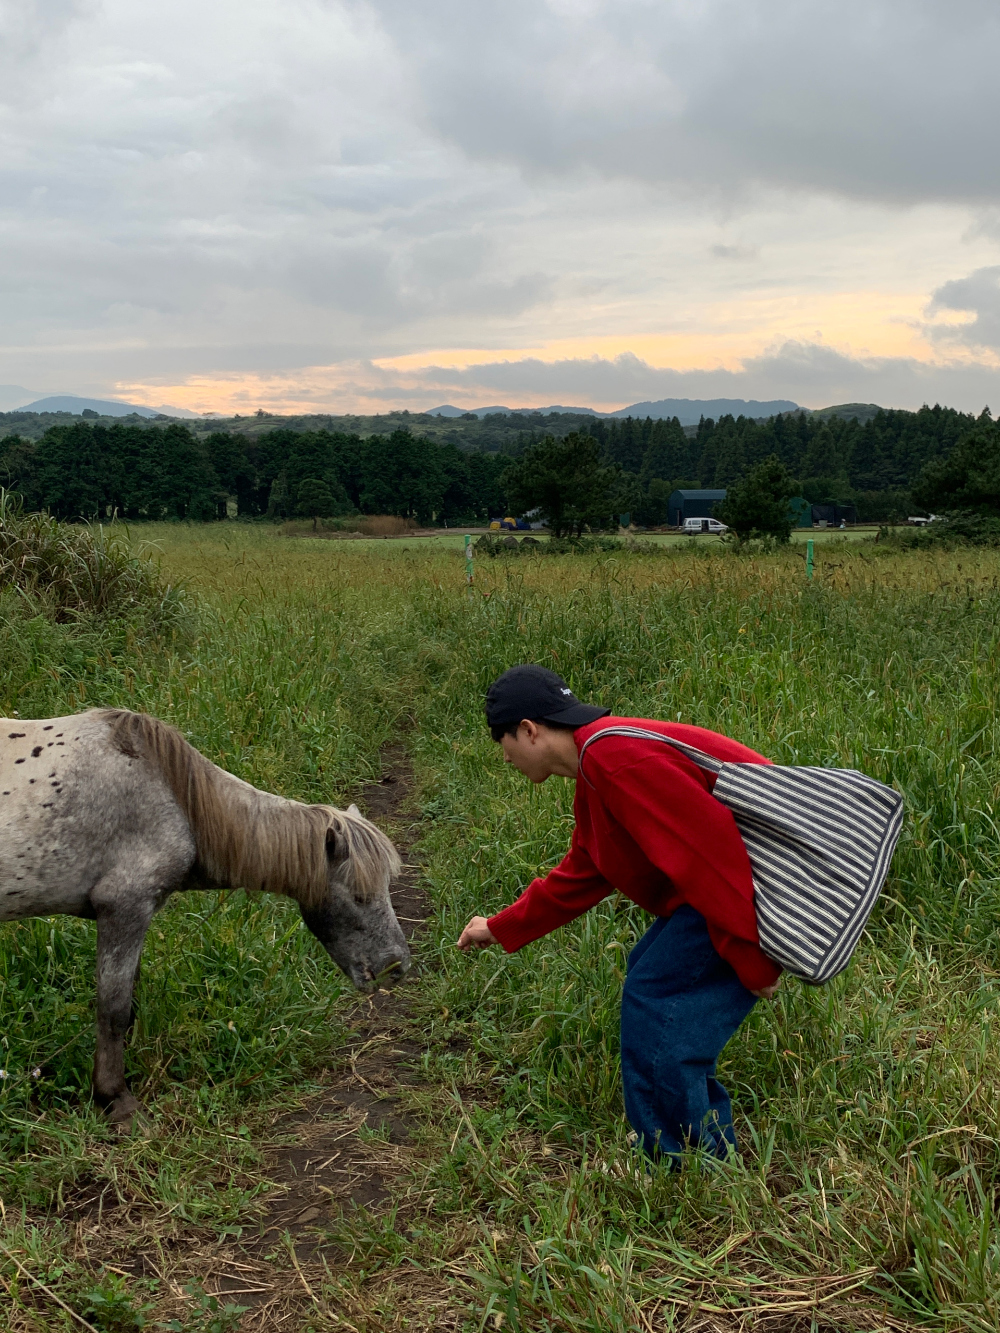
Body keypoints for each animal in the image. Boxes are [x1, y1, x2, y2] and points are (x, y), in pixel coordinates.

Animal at [0, 709, 410, 1125]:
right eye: (359, 895)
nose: (396, 966)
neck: (172, 797)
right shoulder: (124, 910)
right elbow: (113, 1009)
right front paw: (114, 1098)